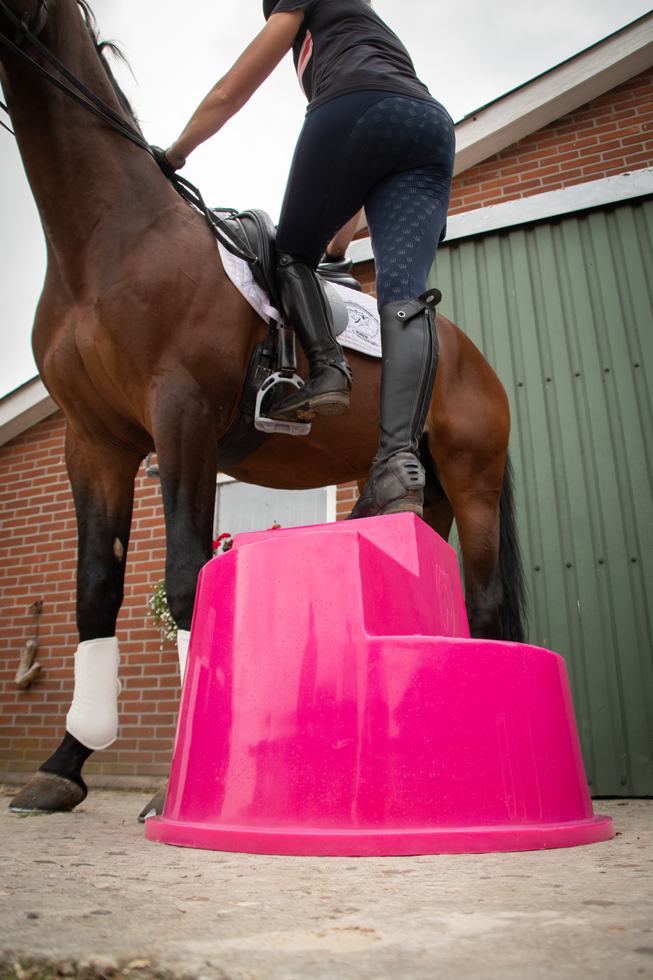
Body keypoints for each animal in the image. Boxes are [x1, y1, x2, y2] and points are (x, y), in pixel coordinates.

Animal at [1, 0, 526, 813]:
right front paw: (63, 764)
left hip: (474, 482)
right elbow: (93, 591)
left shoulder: (180, 417)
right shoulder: (94, 442)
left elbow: (188, 579)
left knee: (491, 606)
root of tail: (468, 353)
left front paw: (181, 784)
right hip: (427, 490)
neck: (108, 239)